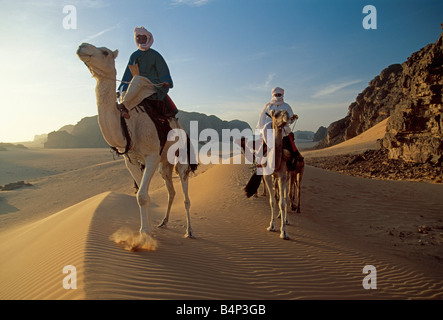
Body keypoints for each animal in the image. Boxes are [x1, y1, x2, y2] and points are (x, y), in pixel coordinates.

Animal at [77, 42, 198, 238]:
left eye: (105, 52)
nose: (82, 46)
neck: (129, 122)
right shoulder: (131, 161)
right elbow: (142, 195)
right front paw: (147, 230)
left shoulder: (151, 156)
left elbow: (142, 195)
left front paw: (145, 234)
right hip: (165, 164)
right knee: (171, 191)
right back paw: (163, 222)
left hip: (182, 159)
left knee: (185, 193)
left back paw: (189, 230)